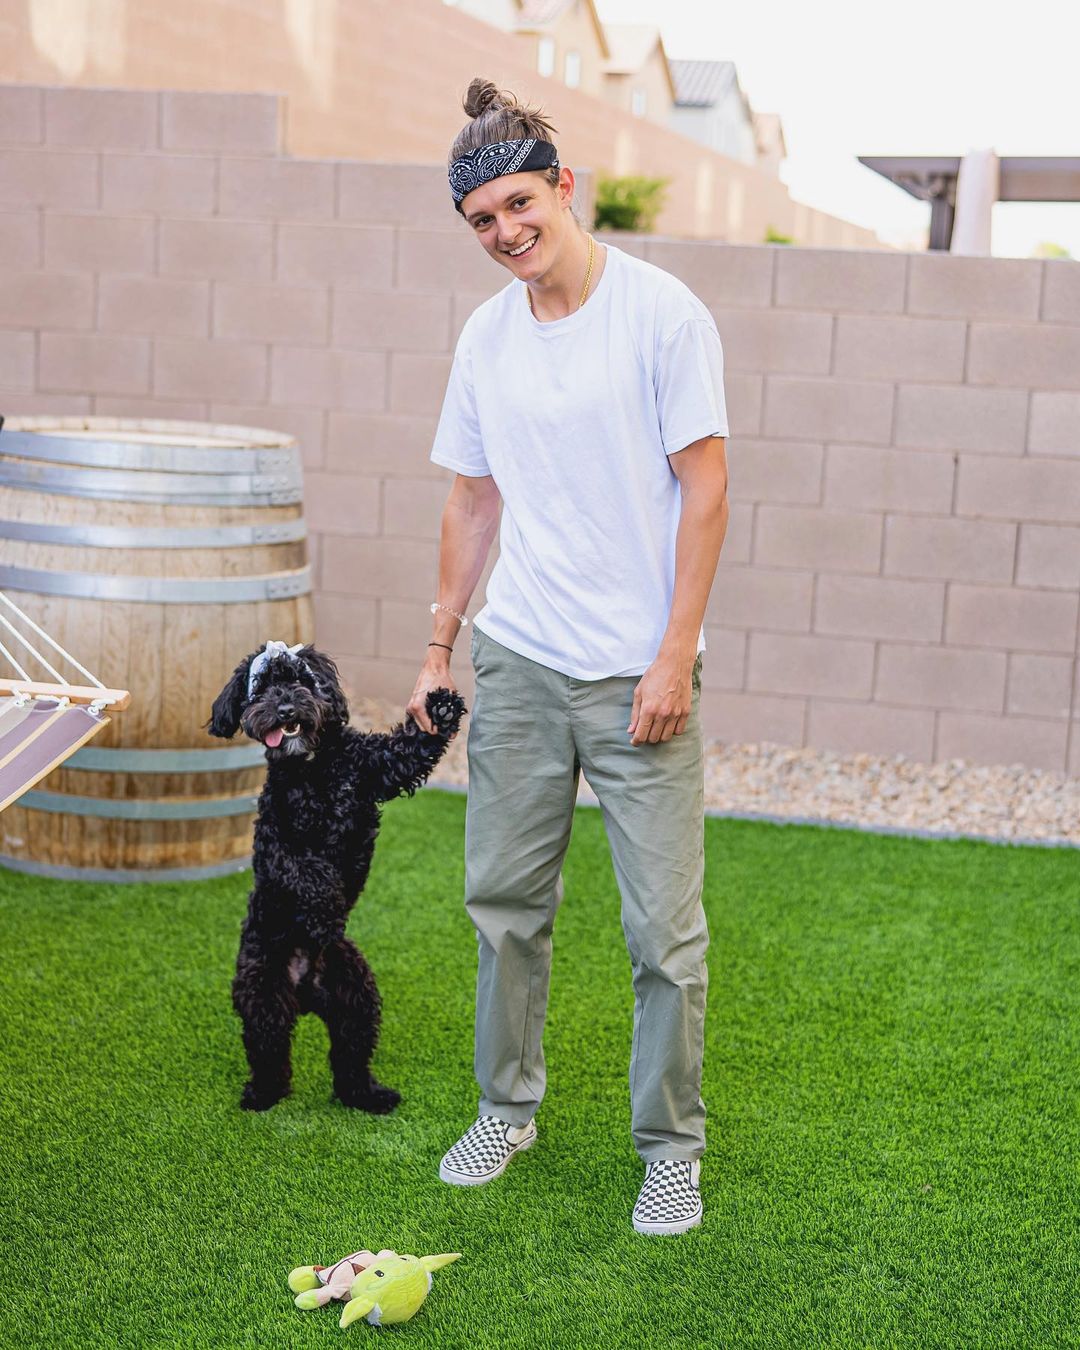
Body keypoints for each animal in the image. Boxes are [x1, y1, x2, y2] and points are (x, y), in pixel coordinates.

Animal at [207, 640, 466, 1114]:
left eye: (298, 679)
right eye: (261, 688)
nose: (285, 707)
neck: (311, 765)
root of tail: (306, 989)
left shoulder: (376, 769)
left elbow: (410, 749)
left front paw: (438, 708)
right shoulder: (274, 842)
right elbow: (307, 871)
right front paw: (326, 911)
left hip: (355, 995)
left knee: (350, 1055)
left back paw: (369, 1095)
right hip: (261, 988)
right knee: (269, 1048)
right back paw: (262, 1094)